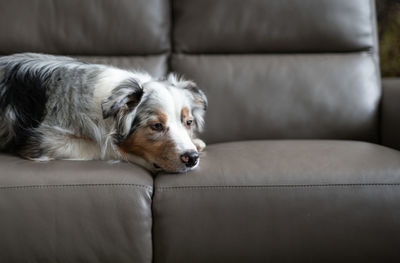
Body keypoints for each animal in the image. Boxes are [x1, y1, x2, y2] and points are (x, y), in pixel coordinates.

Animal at [0, 53, 208, 173]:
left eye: (188, 122)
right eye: (156, 126)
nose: (192, 158)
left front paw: (196, 142)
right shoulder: (44, 140)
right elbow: (105, 148)